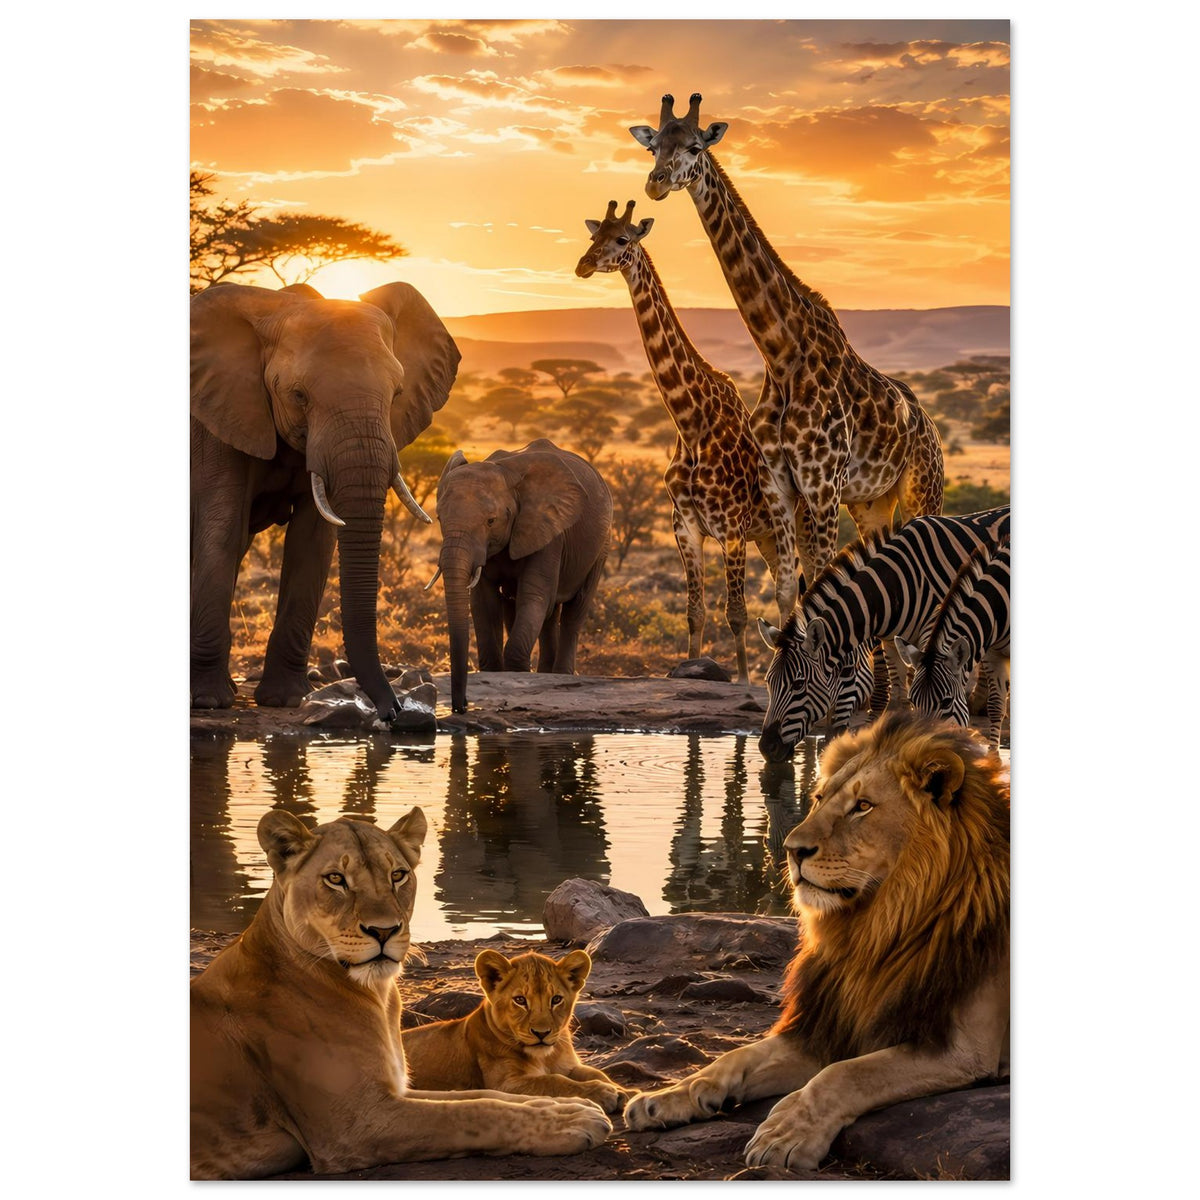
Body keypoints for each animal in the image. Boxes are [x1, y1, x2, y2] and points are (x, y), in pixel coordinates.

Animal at [402, 949, 630, 1113]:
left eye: (556, 999)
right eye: (520, 1000)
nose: (541, 1033)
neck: (545, 1057)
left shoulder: (568, 1066)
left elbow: (594, 1072)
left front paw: (623, 1091)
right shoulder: (504, 1085)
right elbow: (553, 1081)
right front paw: (603, 1092)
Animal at [624, 712, 1009, 1172]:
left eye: (863, 806)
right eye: (821, 797)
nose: (791, 850)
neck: (877, 928)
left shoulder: (965, 1050)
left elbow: (847, 1074)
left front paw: (787, 1133)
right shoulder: (832, 1023)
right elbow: (736, 1056)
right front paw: (668, 1097)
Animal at [897, 536, 1011, 749]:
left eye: (946, 702)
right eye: (912, 701)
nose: (919, 748)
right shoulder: (993, 653)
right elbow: (995, 706)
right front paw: (994, 756)